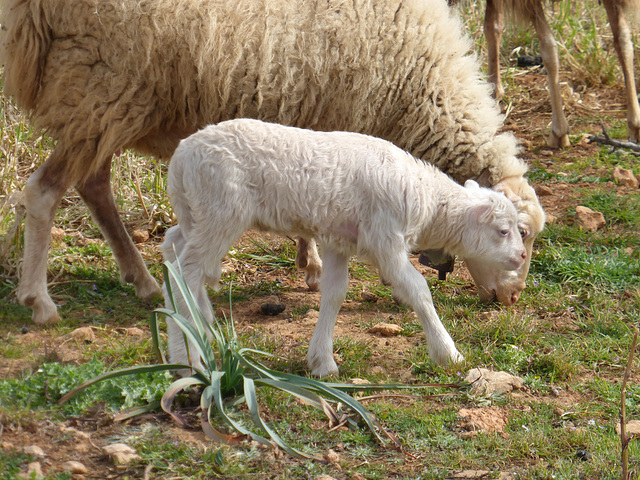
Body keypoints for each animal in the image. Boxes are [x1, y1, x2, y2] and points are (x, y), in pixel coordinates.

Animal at [0, 0, 544, 326]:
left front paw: (309, 262)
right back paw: (39, 300)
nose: (513, 299)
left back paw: (144, 282)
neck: (422, 88)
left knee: (92, 185)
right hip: (100, 84)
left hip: (102, 102)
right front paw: (317, 265)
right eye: (514, 234)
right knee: (44, 191)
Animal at [162, 119, 528, 376]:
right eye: (504, 231)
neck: (428, 199)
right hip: (222, 210)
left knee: (173, 247)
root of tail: (180, 157)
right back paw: (185, 358)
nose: (522, 255)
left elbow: (335, 293)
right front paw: (447, 353)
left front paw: (322, 362)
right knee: (186, 270)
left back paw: (200, 326)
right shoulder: (386, 239)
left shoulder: (337, 240)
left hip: (196, 211)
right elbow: (418, 290)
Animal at [450, 0, 640, 147]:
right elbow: (493, 26)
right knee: (623, 38)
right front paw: (493, 92)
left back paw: (559, 131)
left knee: (549, 46)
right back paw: (635, 124)